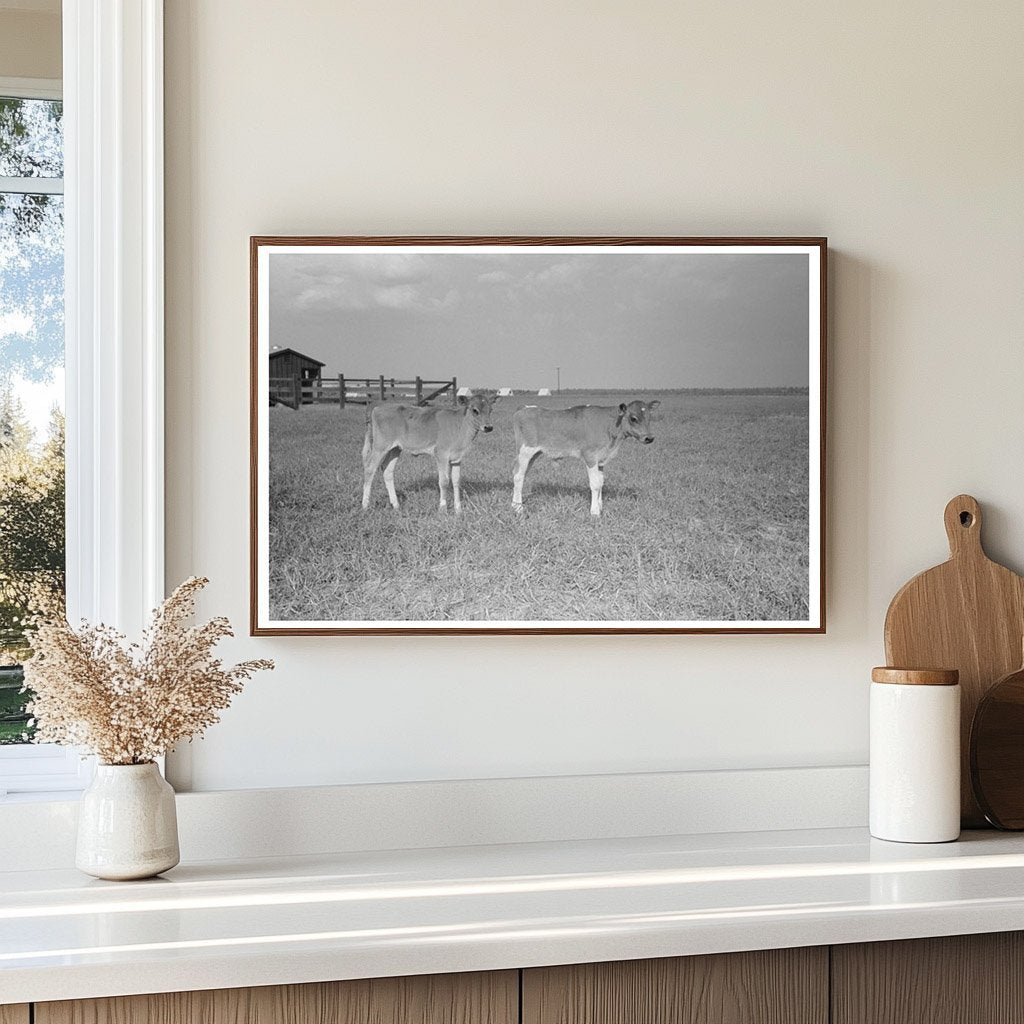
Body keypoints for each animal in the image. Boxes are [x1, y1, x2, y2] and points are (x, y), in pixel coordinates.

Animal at [364, 391, 495, 512]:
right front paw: (443, 508)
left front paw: (458, 509)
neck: (460, 426)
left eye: (490, 410)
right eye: (475, 410)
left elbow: (456, 481)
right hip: (380, 447)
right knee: (370, 469)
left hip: (395, 448)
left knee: (387, 470)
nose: (488, 427)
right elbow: (444, 481)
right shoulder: (441, 455)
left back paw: (396, 505)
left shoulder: (457, 458)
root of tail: (377, 408)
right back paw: (365, 505)